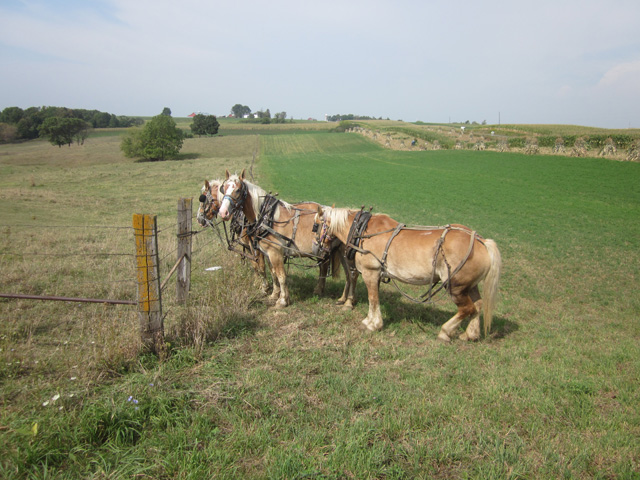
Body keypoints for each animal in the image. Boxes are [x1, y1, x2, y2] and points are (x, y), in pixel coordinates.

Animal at [218, 169, 352, 310]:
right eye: (223, 188)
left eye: (238, 190)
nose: (223, 212)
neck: (267, 217)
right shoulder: (267, 253)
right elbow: (273, 273)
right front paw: (274, 294)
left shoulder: (275, 252)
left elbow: (281, 276)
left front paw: (282, 300)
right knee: (345, 274)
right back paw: (340, 298)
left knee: (349, 274)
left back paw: (346, 301)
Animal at [312, 206, 502, 342]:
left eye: (315, 226)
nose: (316, 247)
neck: (363, 232)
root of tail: (481, 241)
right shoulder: (377, 274)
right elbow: (374, 299)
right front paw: (369, 320)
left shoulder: (370, 273)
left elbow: (373, 299)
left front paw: (373, 325)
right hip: (470, 285)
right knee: (477, 306)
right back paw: (470, 334)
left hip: (456, 287)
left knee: (467, 309)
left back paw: (445, 331)